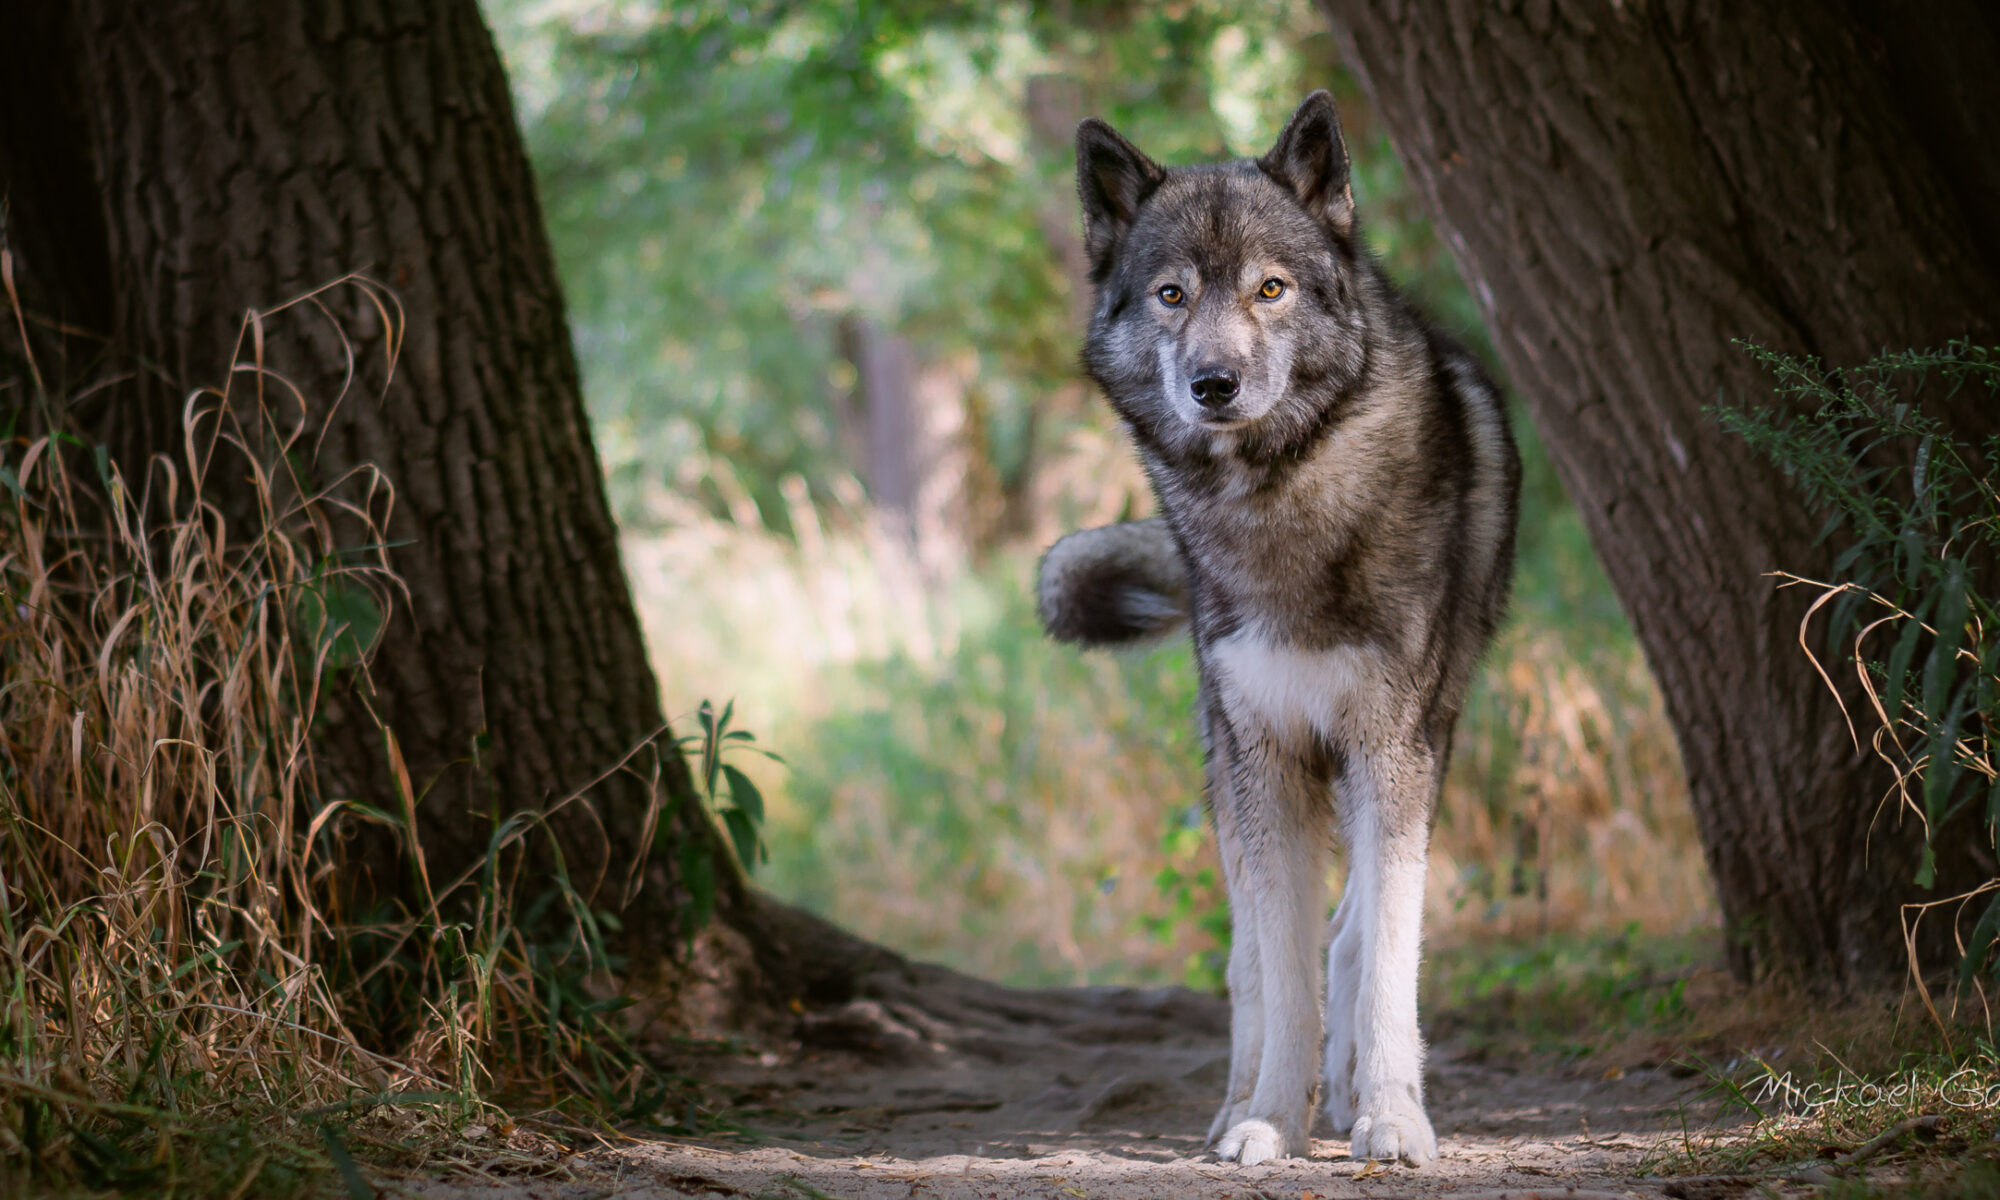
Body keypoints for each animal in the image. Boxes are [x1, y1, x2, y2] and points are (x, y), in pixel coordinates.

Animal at [1040, 91, 1520, 1160]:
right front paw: (1267, 1120)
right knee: (1251, 960)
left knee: (1349, 930)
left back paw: (1344, 1095)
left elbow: (1384, 957)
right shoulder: (1263, 761)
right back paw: (1240, 1105)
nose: (1213, 383)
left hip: (1423, 742)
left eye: (1270, 289)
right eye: (1172, 295)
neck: (1276, 496)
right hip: (1229, 771)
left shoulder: (1392, 752)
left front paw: (1391, 1113)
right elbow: (1280, 969)